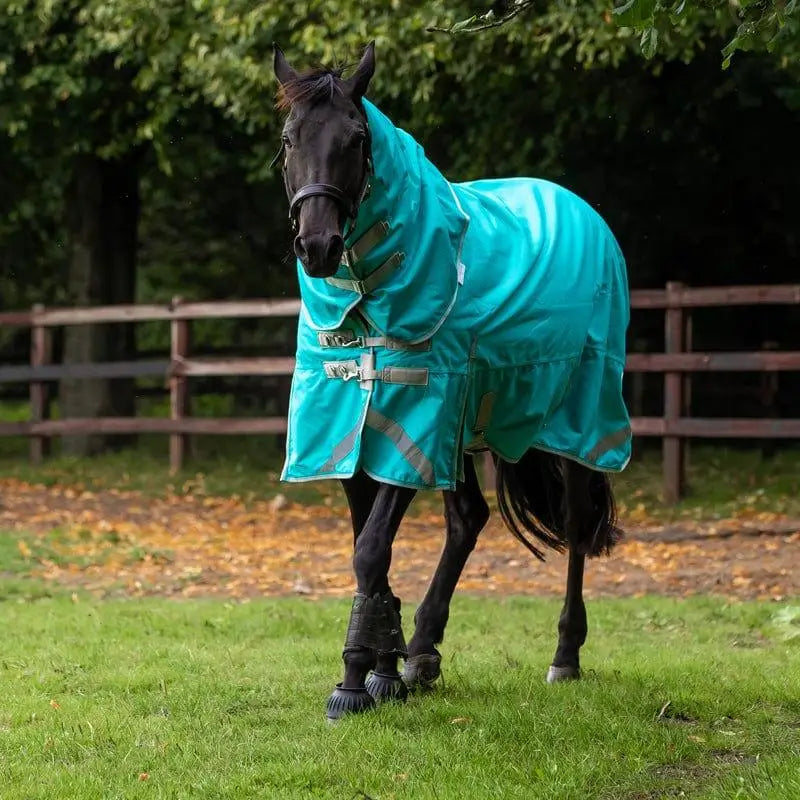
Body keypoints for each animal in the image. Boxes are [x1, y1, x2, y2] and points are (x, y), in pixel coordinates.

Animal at [272, 42, 631, 721]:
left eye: (356, 139)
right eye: (289, 139)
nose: (319, 245)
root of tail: (587, 214)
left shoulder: (416, 416)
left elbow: (371, 550)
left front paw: (355, 680)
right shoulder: (355, 427)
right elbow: (369, 548)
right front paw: (384, 669)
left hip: (575, 415)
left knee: (574, 524)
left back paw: (565, 656)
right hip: (467, 428)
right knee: (467, 519)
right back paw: (422, 654)